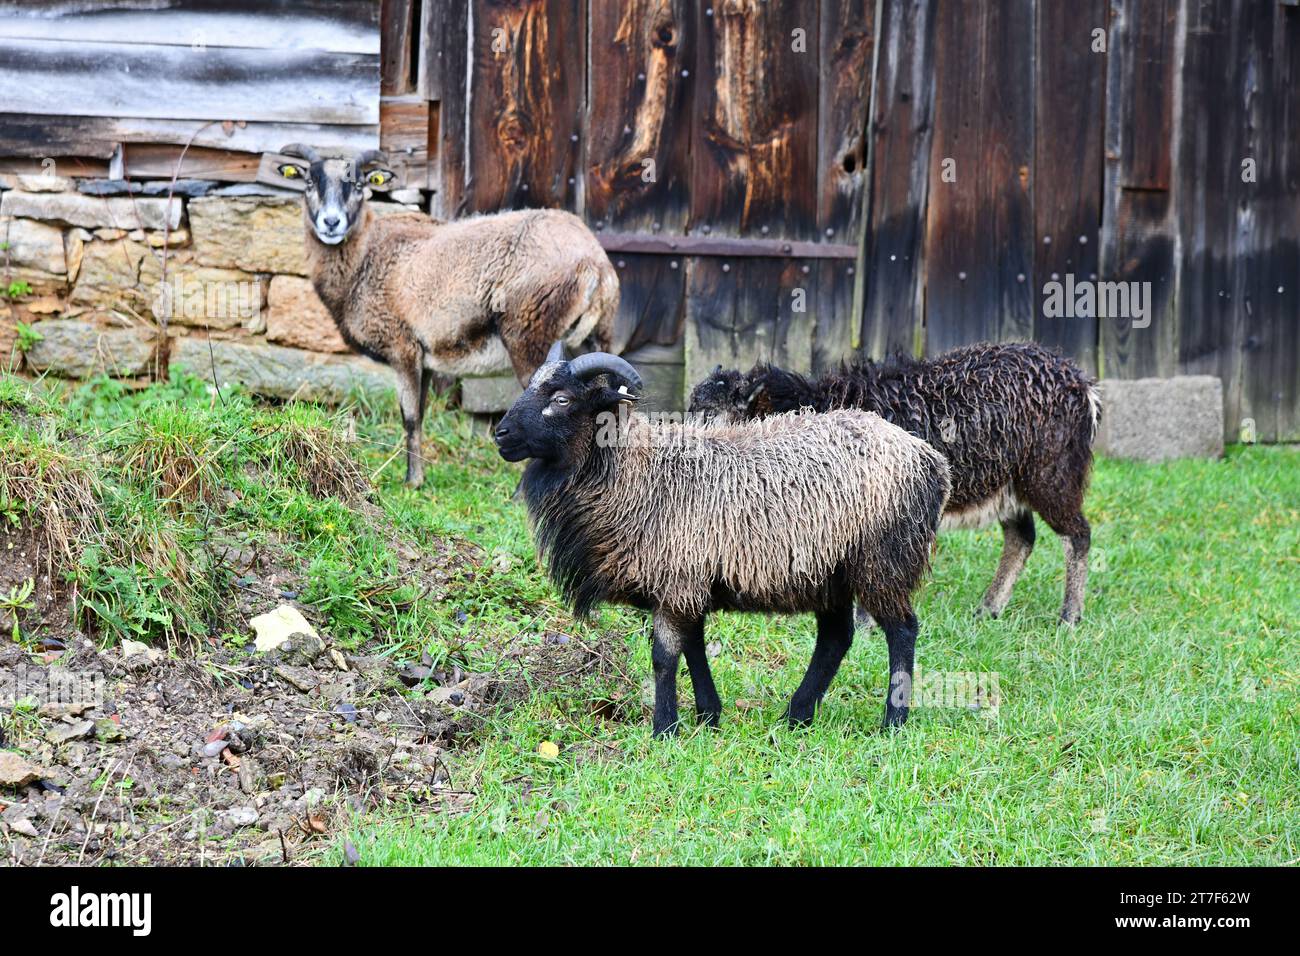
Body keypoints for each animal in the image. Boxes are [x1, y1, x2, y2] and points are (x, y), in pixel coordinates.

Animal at [277, 144, 620, 487]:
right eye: (309, 183)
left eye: (360, 185)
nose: (331, 223)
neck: (367, 257)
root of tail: (595, 265)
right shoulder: (425, 359)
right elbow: (421, 413)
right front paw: (418, 474)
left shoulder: (402, 348)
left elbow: (409, 416)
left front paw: (412, 481)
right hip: (595, 340)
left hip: (531, 337)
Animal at [494, 345, 951, 736]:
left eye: (562, 399)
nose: (500, 433)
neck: (638, 474)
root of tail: (930, 459)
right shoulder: (688, 584)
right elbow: (694, 649)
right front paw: (707, 716)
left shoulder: (677, 579)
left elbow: (664, 658)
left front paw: (665, 729)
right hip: (831, 572)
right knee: (835, 638)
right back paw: (797, 714)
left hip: (884, 560)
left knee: (902, 630)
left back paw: (893, 722)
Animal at [688, 342, 1101, 624]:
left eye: (713, 417)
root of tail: (1082, 386)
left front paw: (864, 623)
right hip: (1008, 486)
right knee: (1021, 537)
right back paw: (989, 607)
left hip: (1050, 475)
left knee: (1077, 533)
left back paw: (1069, 616)